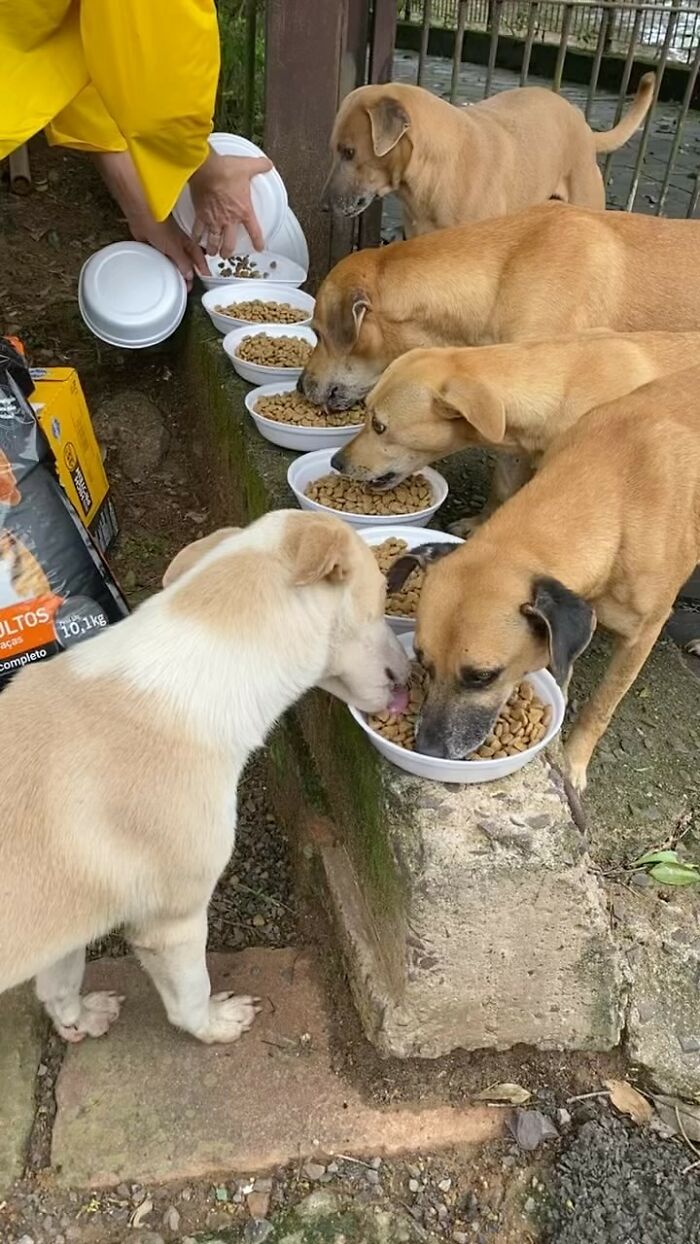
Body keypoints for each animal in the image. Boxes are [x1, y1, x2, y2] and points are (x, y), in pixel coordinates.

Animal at [0, 510, 407, 1044]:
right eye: (382, 597)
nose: (412, 672)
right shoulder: (172, 923)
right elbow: (190, 996)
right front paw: (215, 1025)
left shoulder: (65, 924)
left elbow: (60, 982)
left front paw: (80, 1021)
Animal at [387, 363, 700, 791]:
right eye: (422, 660)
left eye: (482, 677)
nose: (427, 749)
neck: (611, 490)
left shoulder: (642, 636)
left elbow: (601, 706)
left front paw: (573, 763)